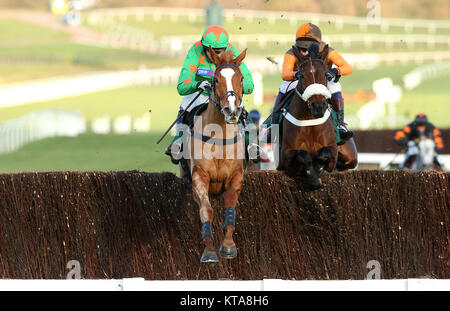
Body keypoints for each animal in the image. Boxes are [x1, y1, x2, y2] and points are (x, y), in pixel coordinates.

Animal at [181, 47, 248, 264]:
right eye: (215, 80)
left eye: (241, 78)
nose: (232, 110)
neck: (219, 136)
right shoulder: (199, 176)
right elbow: (206, 209)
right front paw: (209, 249)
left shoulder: (236, 175)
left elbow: (230, 204)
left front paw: (228, 245)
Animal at [278, 44, 338, 189]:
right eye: (302, 76)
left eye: (326, 75)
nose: (318, 106)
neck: (310, 122)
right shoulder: (286, 157)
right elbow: (303, 155)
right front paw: (313, 179)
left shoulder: (333, 153)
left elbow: (325, 153)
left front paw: (319, 168)